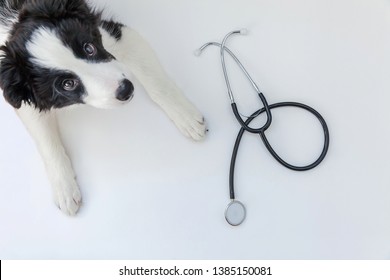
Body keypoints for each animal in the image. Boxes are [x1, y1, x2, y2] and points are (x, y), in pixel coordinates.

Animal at [0, 0, 207, 215]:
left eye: (89, 48)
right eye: (67, 84)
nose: (126, 89)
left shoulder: (115, 36)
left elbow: (156, 83)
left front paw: (186, 116)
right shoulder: (24, 97)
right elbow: (46, 141)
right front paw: (64, 187)